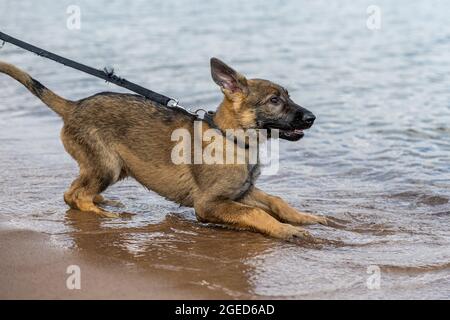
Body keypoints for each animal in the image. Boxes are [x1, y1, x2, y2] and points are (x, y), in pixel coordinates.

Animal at [0, 58, 326, 241]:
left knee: (72, 192)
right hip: (108, 166)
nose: (312, 117)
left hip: (108, 167)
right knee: (76, 195)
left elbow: (276, 202)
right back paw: (105, 215)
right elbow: (258, 214)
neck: (231, 139)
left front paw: (304, 218)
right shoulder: (209, 204)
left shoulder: (241, 193)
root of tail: (74, 105)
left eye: (288, 96)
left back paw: (103, 203)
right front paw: (286, 231)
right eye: (274, 101)